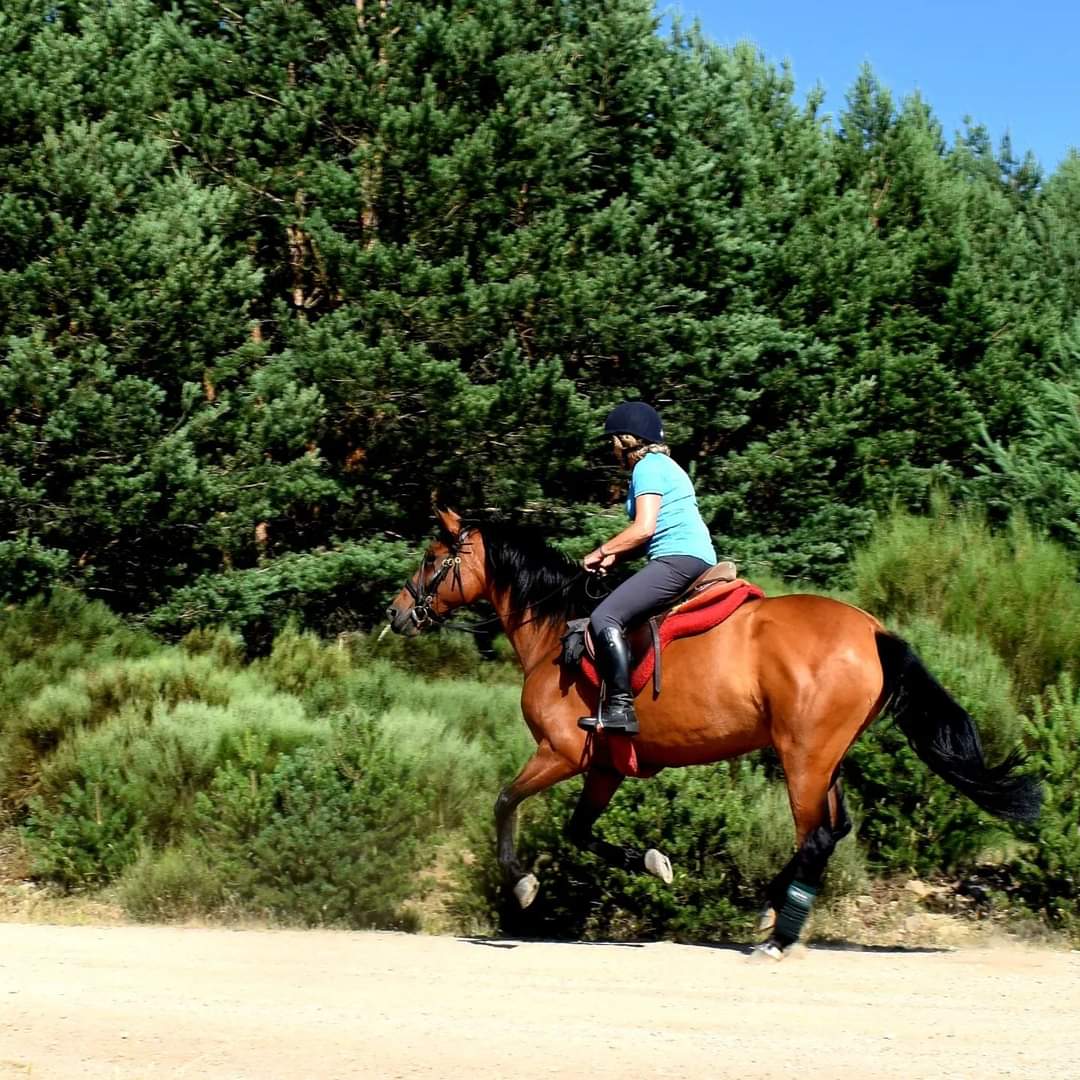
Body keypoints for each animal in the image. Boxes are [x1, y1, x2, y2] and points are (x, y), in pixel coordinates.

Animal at [385, 507, 1042, 957]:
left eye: (430, 558)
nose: (396, 613)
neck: (554, 633)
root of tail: (872, 630)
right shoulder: (606, 766)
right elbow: (580, 831)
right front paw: (655, 862)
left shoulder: (562, 753)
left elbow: (504, 801)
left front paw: (522, 884)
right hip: (823, 756)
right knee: (833, 831)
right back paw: (770, 916)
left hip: (803, 758)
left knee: (814, 836)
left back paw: (775, 936)